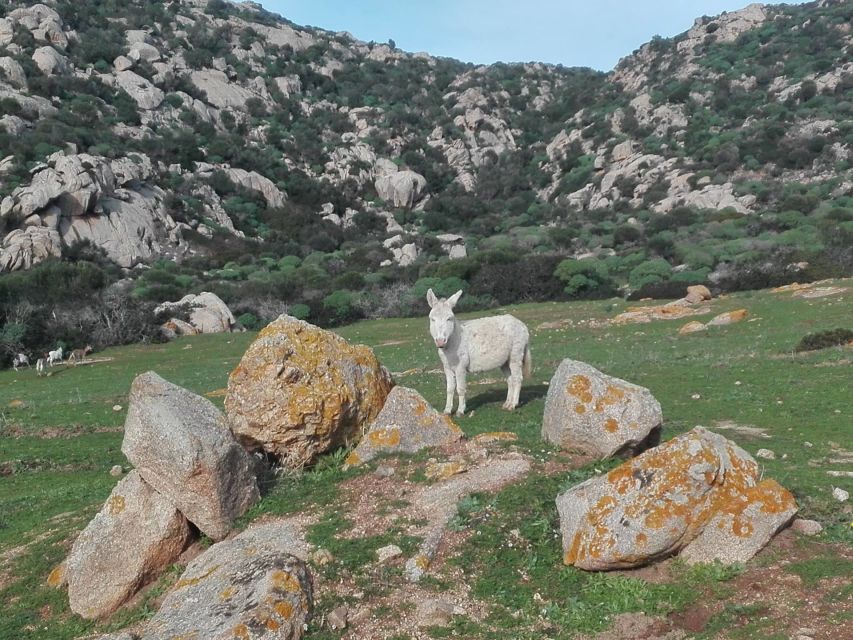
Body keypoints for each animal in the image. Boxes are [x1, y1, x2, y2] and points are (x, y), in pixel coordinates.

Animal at [430, 288, 528, 418]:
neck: (453, 341)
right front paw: (447, 411)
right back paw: (507, 404)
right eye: (432, 319)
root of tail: (522, 324)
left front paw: (460, 411)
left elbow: (460, 388)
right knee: (510, 380)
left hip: (515, 355)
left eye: (449, 318)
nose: (440, 341)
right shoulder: (447, 367)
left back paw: (513, 404)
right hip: (505, 361)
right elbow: (449, 389)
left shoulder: (460, 367)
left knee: (518, 378)